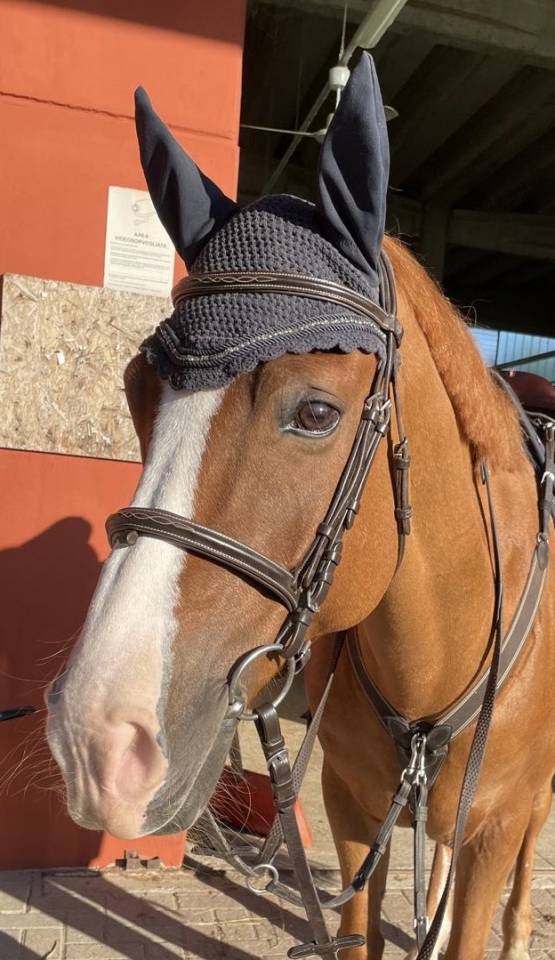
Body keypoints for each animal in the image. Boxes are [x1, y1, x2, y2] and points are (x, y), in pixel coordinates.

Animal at [46, 54, 555, 960]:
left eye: (316, 412)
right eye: (137, 387)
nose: (97, 738)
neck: (439, 662)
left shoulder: (492, 828)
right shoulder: (352, 808)